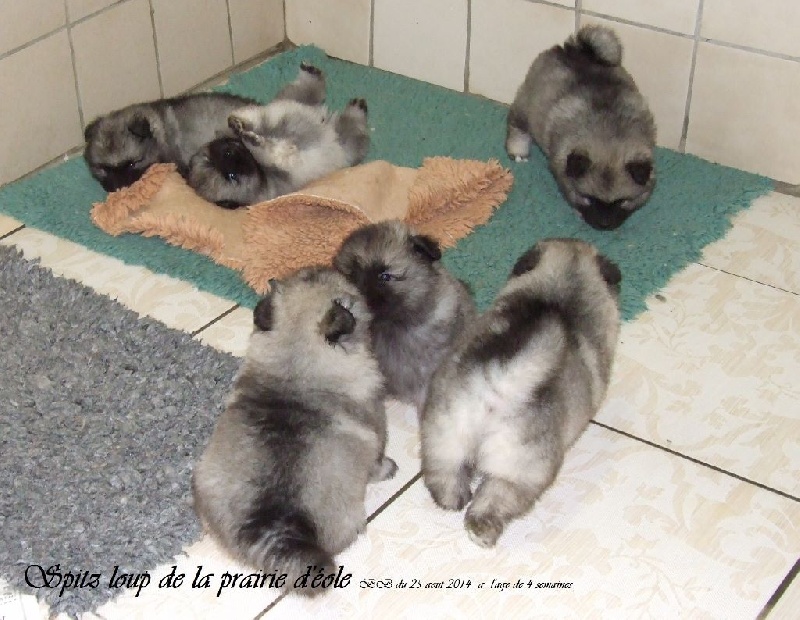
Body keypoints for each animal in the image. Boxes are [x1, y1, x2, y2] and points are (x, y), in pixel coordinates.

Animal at [192, 267, 396, 594]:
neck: (295, 367)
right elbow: (378, 461)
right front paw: (388, 468)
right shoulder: (377, 434)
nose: (333, 265)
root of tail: (272, 525)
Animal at [421, 238, 621, 547]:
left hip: (445, 435)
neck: (565, 285)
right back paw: (482, 531)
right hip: (520, 470)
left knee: (444, 473)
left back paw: (451, 499)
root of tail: (498, 382)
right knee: (494, 499)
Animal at [506, 25, 656, 230]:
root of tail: (571, 49)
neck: (609, 133)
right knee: (517, 125)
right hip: (525, 106)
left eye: (621, 201)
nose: (604, 224)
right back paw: (518, 150)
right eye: (589, 199)